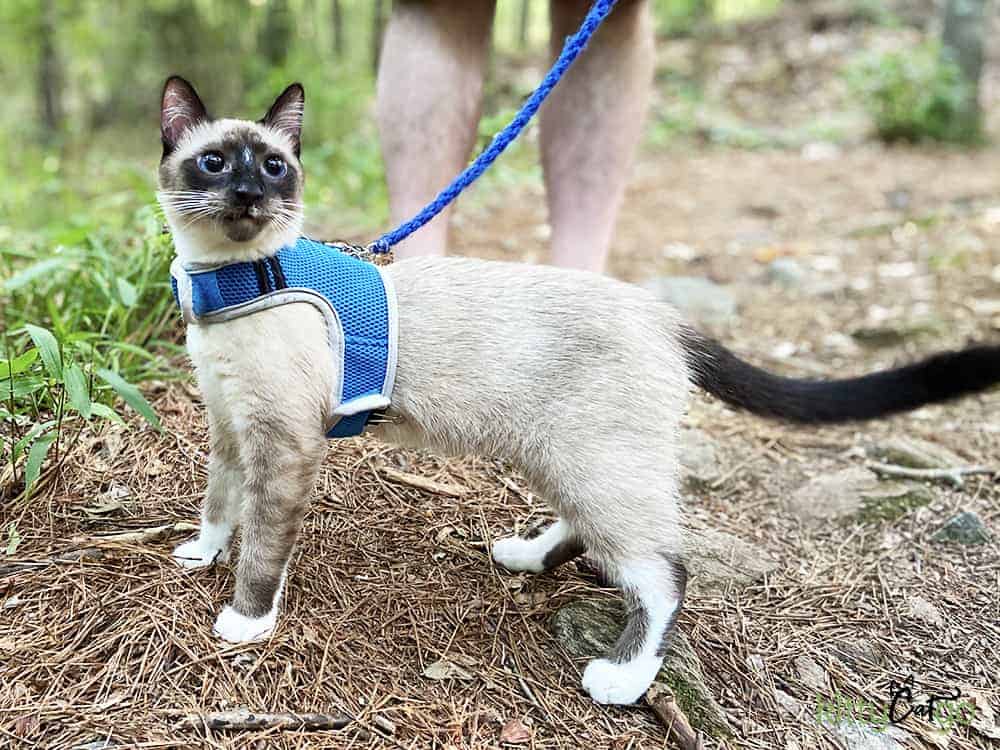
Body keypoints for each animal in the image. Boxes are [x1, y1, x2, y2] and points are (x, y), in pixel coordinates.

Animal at [156, 76, 1000, 704]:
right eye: (213, 164)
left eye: (272, 167)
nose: (248, 195)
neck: (233, 278)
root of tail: (663, 312)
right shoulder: (230, 429)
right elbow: (219, 504)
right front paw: (200, 554)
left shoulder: (285, 444)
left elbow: (263, 546)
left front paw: (245, 621)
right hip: (560, 454)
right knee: (590, 532)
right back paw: (526, 557)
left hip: (591, 462)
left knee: (665, 573)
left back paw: (622, 680)